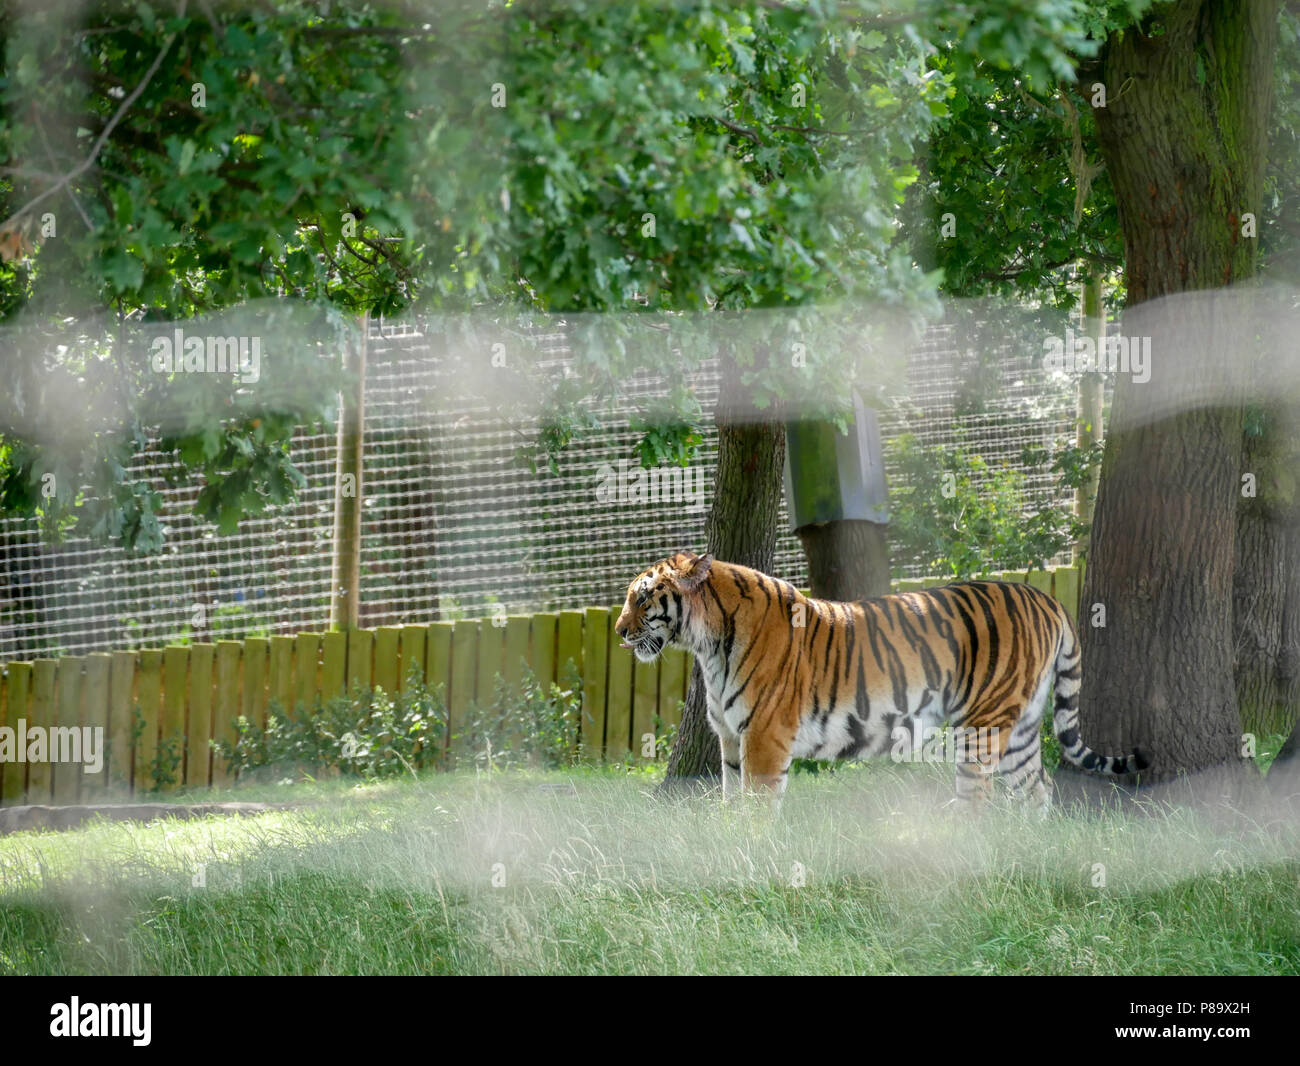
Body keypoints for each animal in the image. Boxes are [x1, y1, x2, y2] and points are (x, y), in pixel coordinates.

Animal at [613, 548, 1144, 806]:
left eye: (642, 597)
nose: (618, 632)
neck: (707, 646)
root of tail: (1045, 597)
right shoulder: (729, 738)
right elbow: (729, 800)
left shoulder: (764, 736)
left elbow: (758, 806)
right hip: (1021, 729)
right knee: (1039, 789)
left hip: (984, 723)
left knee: (978, 798)